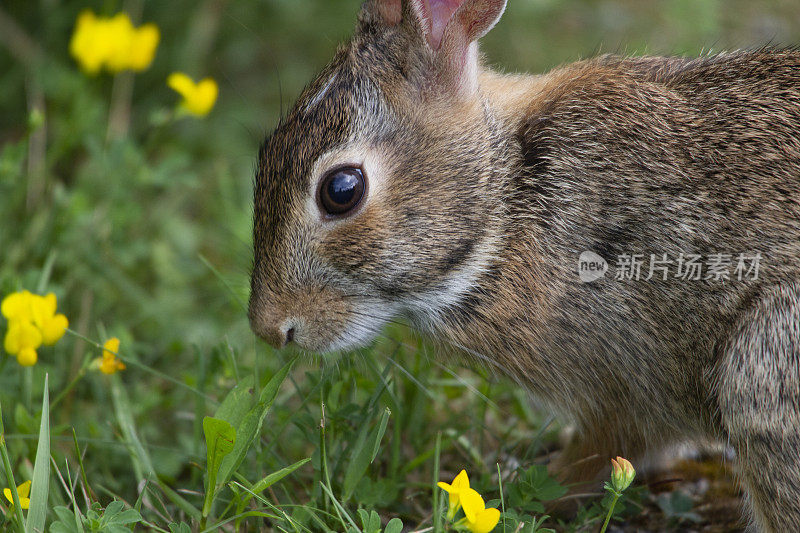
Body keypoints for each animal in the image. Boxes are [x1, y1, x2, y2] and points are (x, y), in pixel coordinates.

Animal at [247, 0, 796, 528]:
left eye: (341, 190)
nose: (270, 329)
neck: (507, 194)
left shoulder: (625, 387)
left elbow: (605, 453)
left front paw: (521, 492)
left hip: (759, 368)